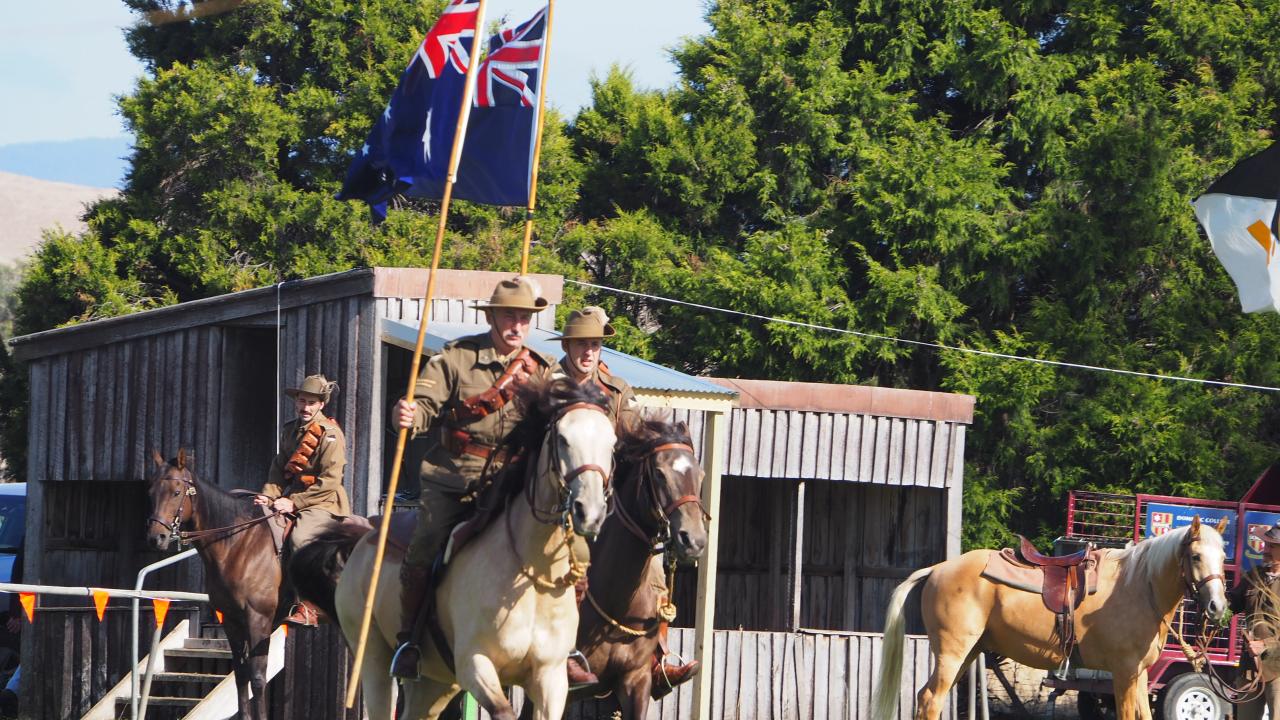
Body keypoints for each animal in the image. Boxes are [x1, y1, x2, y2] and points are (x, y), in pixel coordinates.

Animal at [146, 448, 284, 717]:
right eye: (151, 493)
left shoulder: (259, 619)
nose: (156, 538)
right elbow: (241, 677)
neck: (238, 545)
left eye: (176, 492)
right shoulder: (231, 619)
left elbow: (258, 679)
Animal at [304, 376, 614, 717]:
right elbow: (503, 710)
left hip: (437, 682)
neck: (529, 571)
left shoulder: (551, 679)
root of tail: (363, 537)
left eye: (612, 443)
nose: (591, 512)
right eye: (562, 439)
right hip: (374, 657)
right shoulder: (475, 664)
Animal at [870, 515, 1228, 717]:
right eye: (1196, 556)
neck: (1139, 585)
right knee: (931, 700)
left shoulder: (1138, 675)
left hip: (969, 653)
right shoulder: (1124, 673)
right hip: (952, 652)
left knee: (927, 698)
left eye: (1223, 557)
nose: (1217, 606)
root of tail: (938, 569)